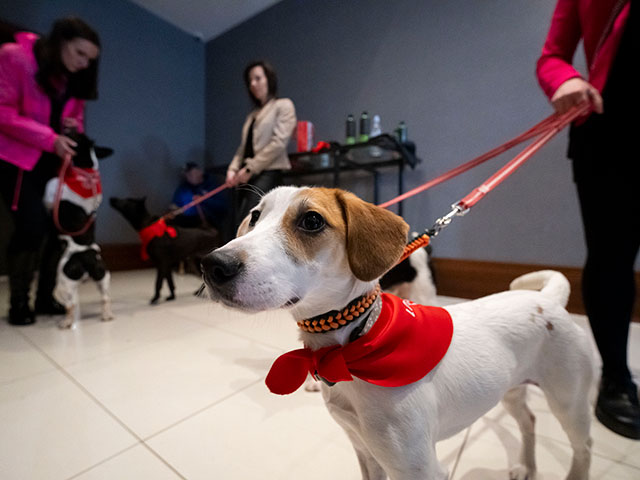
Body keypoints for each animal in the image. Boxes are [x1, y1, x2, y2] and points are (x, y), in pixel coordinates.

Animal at [44, 129, 114, 328]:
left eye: (72, 134)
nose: (67, 127)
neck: (88, 172)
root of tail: (87, 257)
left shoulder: (53, 193)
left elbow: (50, 188)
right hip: (103, 276)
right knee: (105, 298)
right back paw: (107, 315)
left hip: (63, 284)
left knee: (70, 305)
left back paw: (66, 322)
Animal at [200, 187, 596, 480]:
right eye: (255, 217)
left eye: (311, 220)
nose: (212, 265)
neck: (355, 342)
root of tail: (547, 299)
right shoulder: (365, 450)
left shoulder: (420, 469)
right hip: (511, 390)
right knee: (529, 421)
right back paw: (527, 466)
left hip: (569, 402)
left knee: (583, 447)